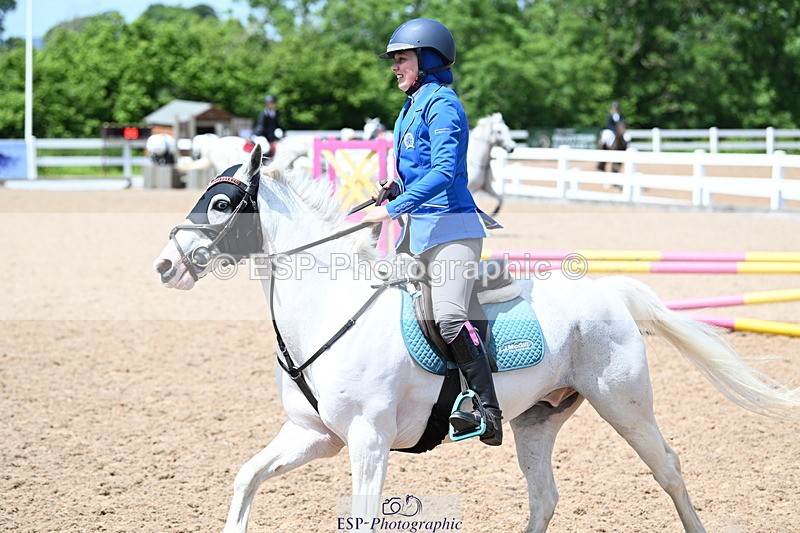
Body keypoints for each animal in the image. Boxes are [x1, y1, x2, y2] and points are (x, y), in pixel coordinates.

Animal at [153, 144, 800, 533]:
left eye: (220, 202)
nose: (164, 266)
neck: (330, 306)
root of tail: (609, 293)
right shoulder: (315, 435)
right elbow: (248, 477)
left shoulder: (367, 441)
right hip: (537, 420)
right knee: (545, 496)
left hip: (625, 403)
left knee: (667, 467)